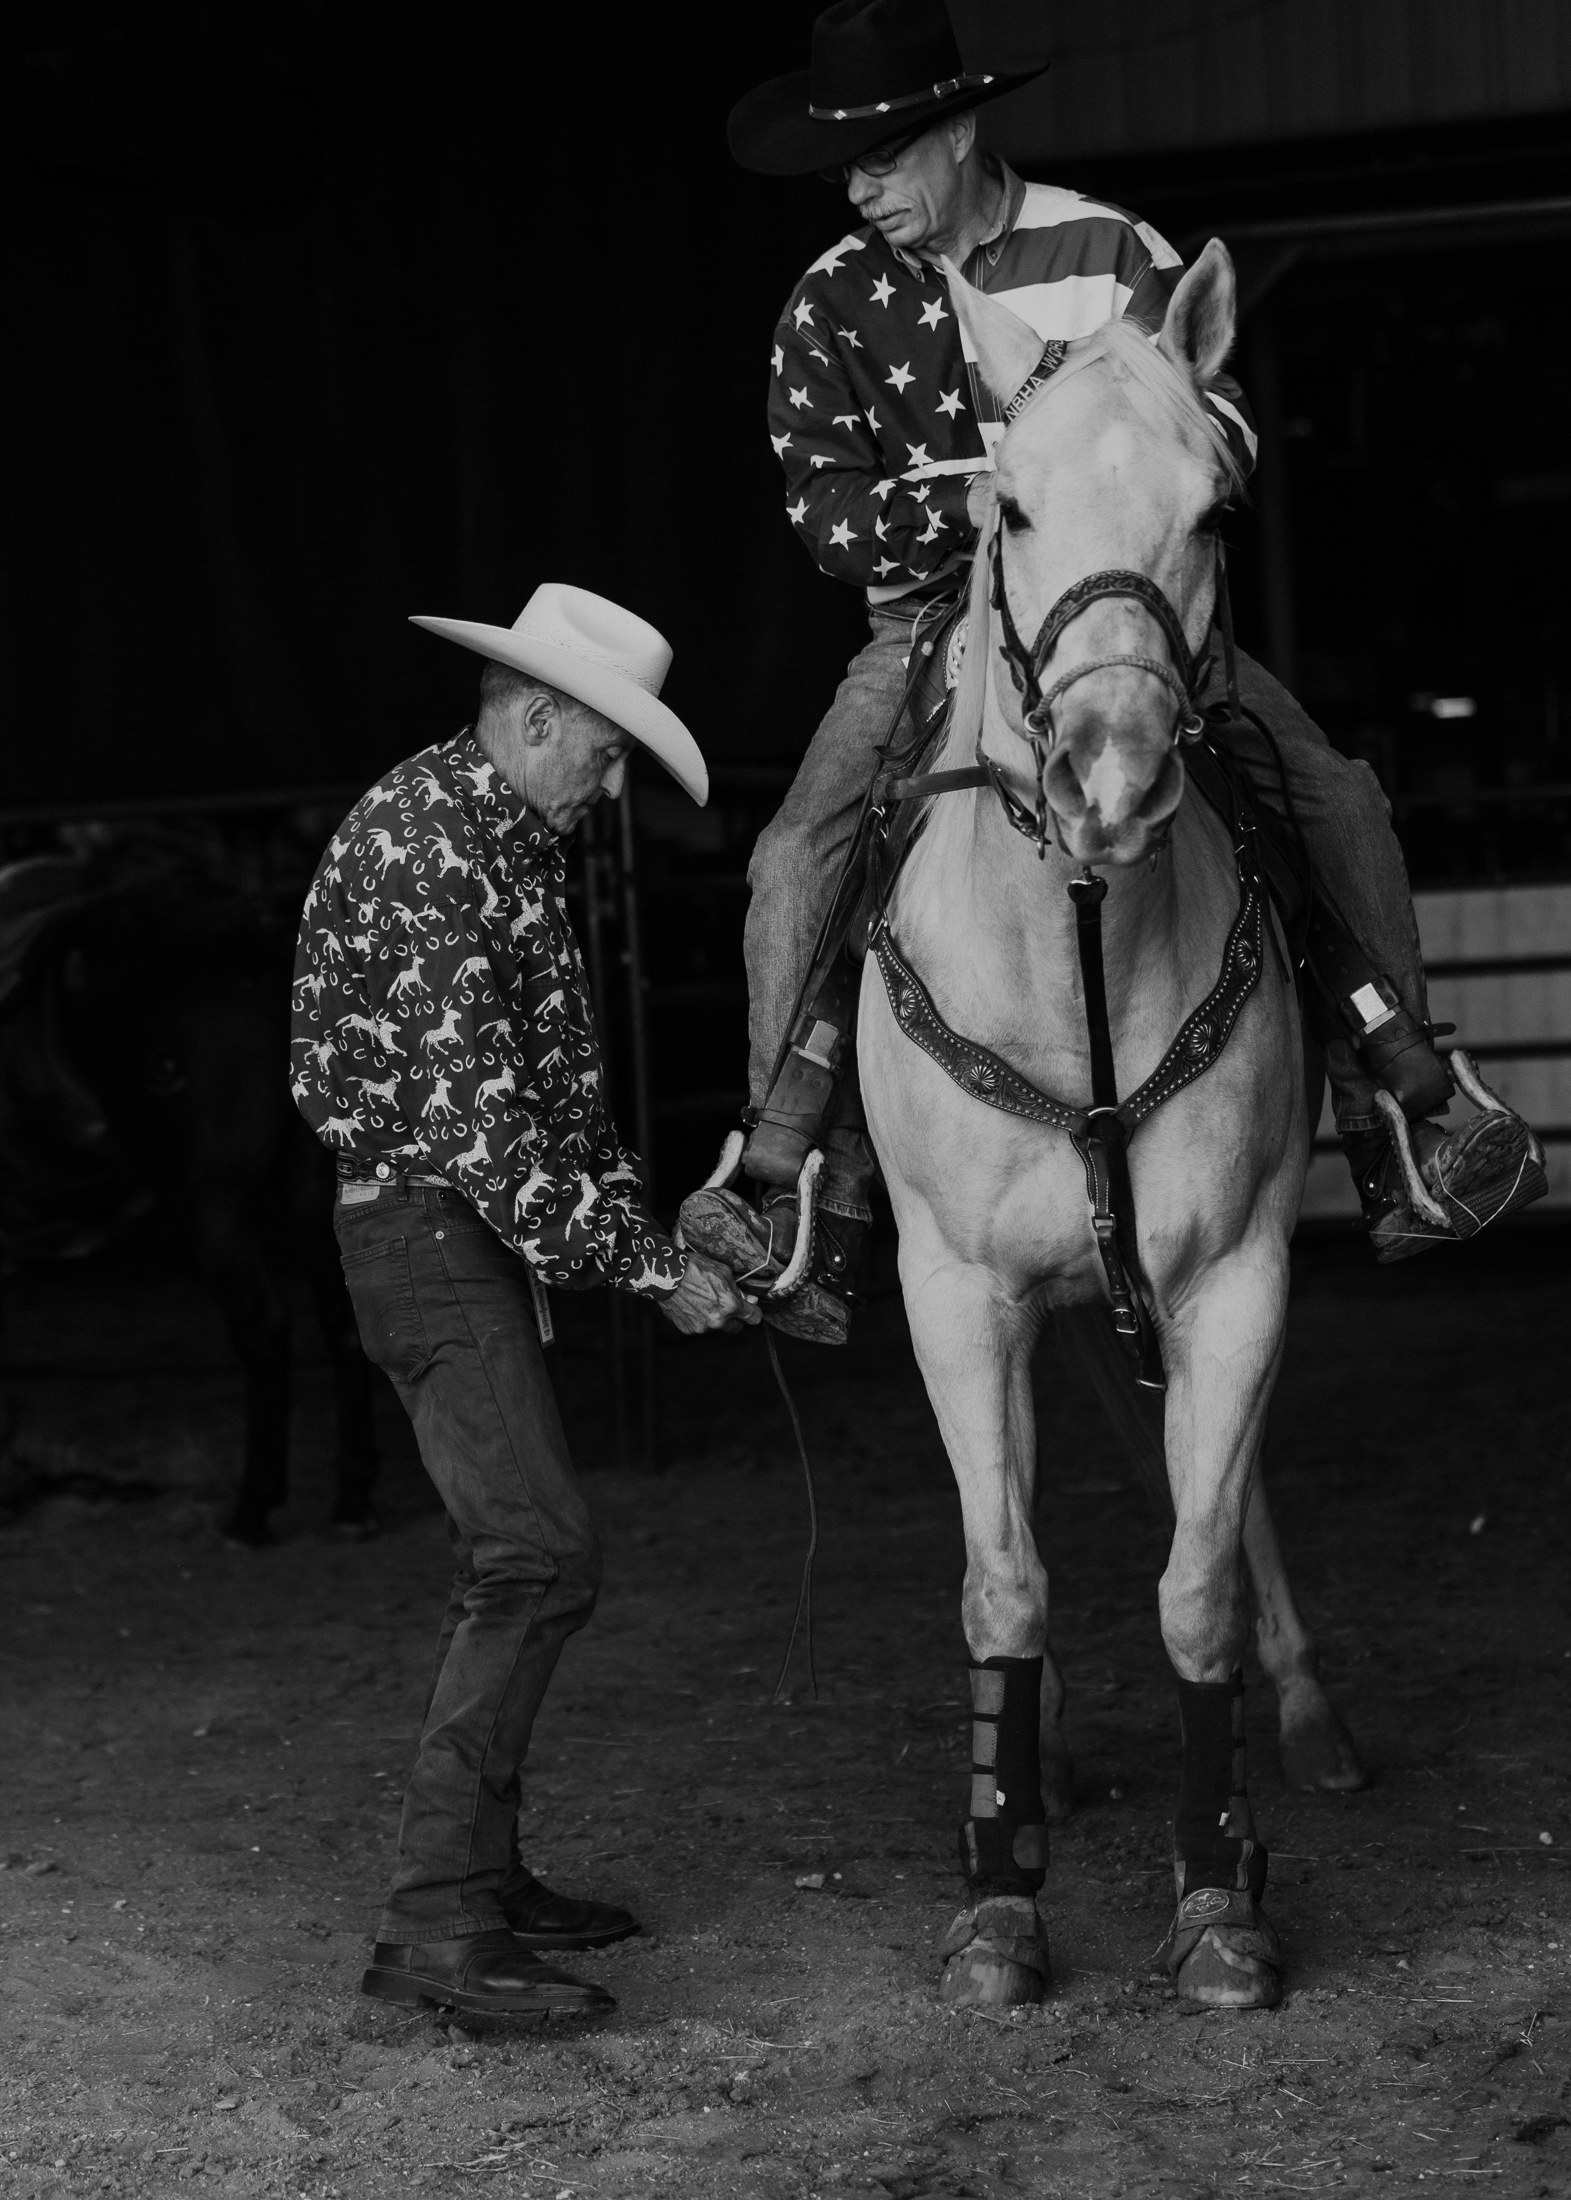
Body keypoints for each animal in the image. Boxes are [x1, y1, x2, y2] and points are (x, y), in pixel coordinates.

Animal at [0, 818, 376, 1540]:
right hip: (309, 1193)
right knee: (343, 1318)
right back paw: (349, 1501)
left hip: (207, 1201)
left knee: (263, 1326)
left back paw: (251, 1511)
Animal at [858, 245, 1337, 2015]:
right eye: (1005, 504)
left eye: (1212, 507)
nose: (1111, 776)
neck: (1073, 948)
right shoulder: (953, 1293)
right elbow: (1001, 1576)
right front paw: (997, 1892)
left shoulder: (1237, 1277)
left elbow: (1192, 1578)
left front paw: (1218, 1895)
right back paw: (1043, 1756)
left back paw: (1306, 1714)